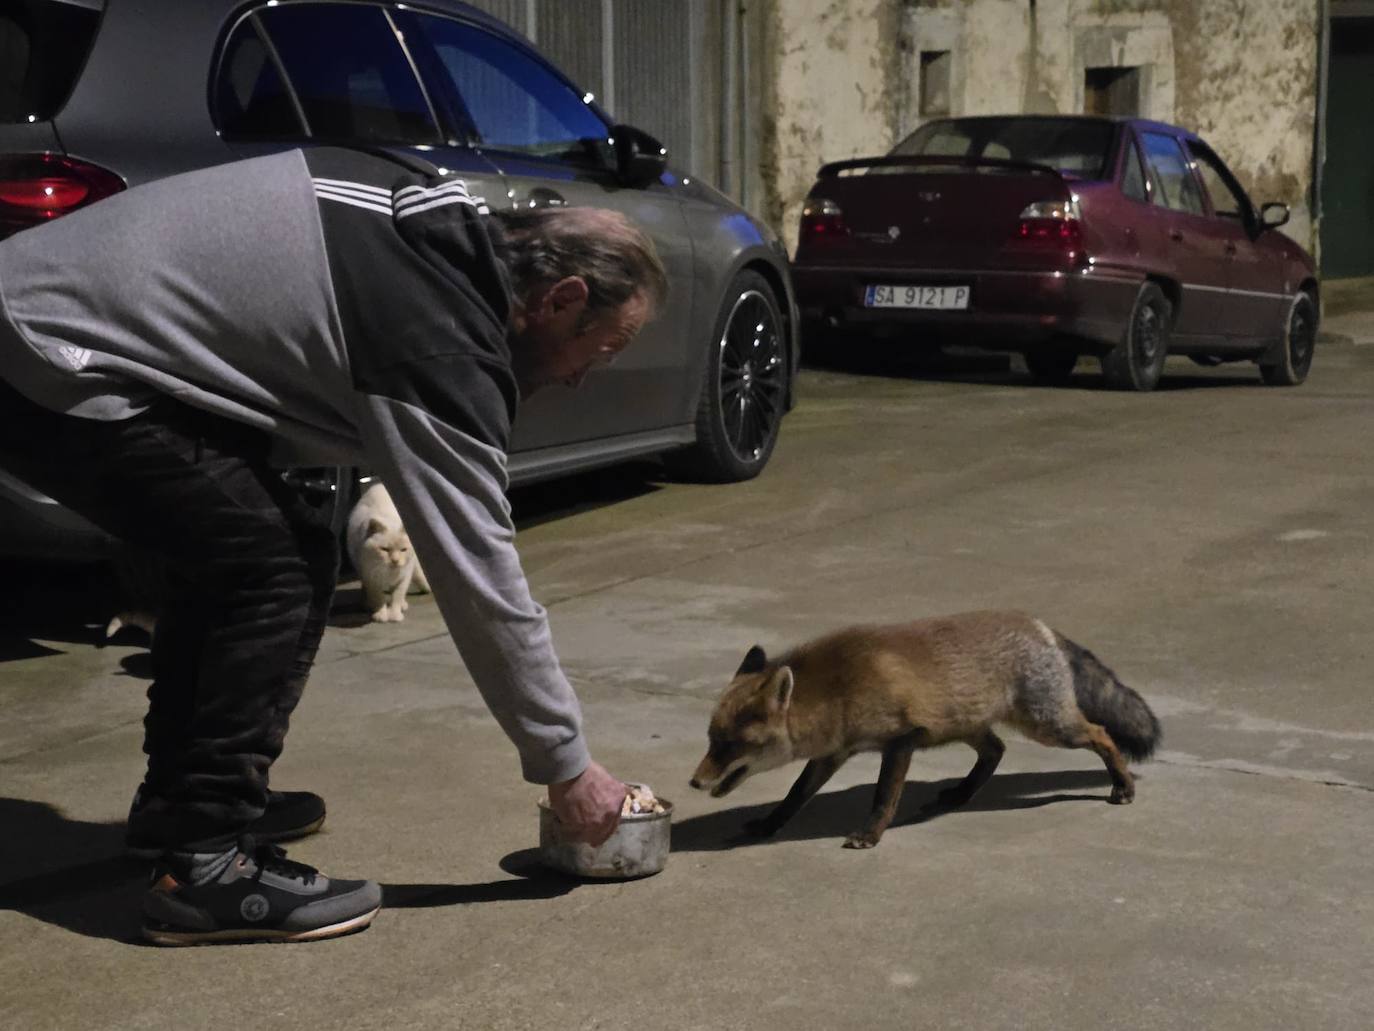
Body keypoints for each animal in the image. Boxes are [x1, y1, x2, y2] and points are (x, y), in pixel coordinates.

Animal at [343, 483, 428, 621]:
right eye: (385, 549)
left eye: (403, 550)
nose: (395, 560)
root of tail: (379, 484)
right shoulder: (371, 578)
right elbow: (379, 598)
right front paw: (381, 615)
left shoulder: (404, 576)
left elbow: (397, 596)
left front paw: (394, 615)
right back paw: (366, 604)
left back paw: (402, 605)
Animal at [687, 613, 1159, 846]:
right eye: (711, 740)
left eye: (729, 745)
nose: (694, 782)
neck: (839, 689)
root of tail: (1041, 625)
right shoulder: (833, 752)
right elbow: (794, 796)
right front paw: (769, 826)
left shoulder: (901, 740)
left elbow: (883, 797)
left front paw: (870, 835)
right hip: (967, 725)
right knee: (995, 751)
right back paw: (959, 795)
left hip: (1049, 725)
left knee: (1101, 734)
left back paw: (1123, 787)